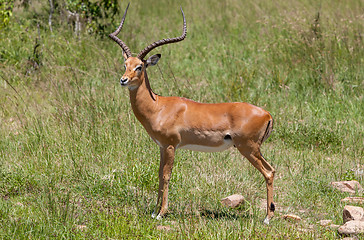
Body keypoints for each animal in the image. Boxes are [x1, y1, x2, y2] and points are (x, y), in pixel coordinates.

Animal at [109, 3, 274, 225]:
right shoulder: (162, 147)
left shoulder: (171, 146)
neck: (158, 106)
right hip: (254, 149)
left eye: (140, 66)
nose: (123, 80)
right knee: (272, 170)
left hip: (248, 148)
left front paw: (161, 213)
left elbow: (167, 176)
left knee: (268, 172)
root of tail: (267, 114)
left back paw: (267, 218)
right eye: (125, 64)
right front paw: (154, 211)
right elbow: (159, 175)